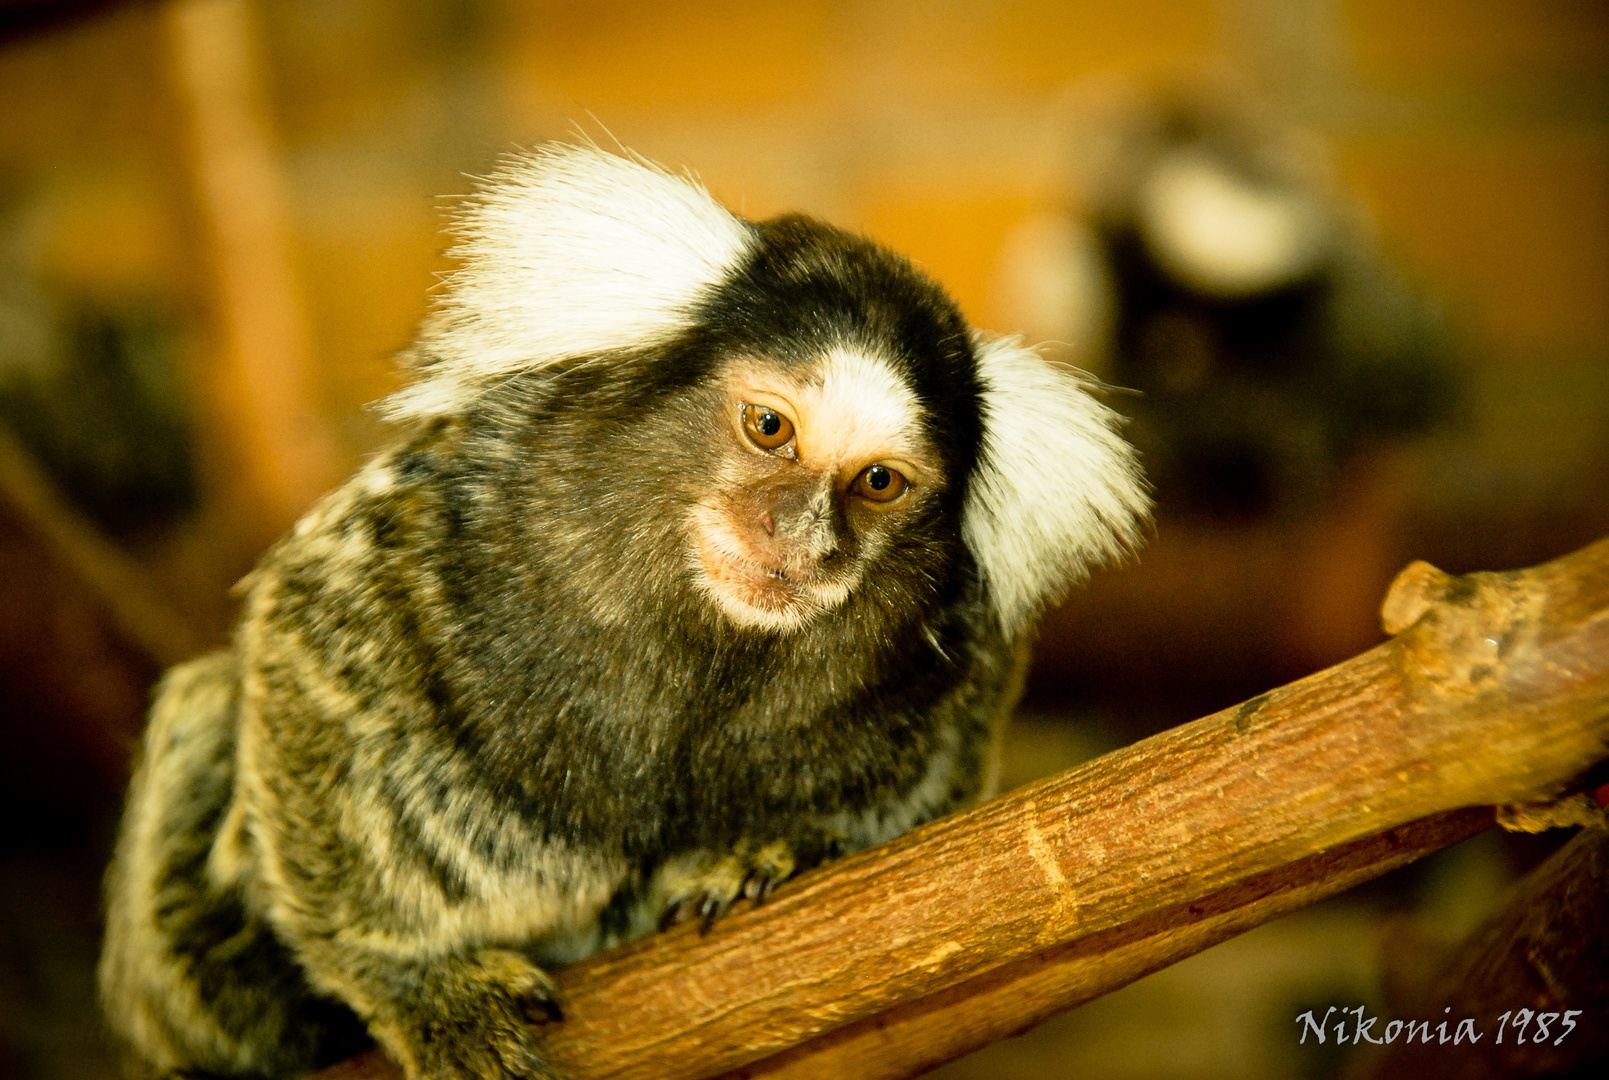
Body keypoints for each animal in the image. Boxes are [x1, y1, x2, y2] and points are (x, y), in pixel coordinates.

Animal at [97, 145, 1145, 1080]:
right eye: (769, 428)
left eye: (878, 483)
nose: (802, 536)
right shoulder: (429, 531)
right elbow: (305, 647)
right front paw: (414, 982)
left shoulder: (964, 670)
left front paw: (780, 848)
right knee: (208, 706)